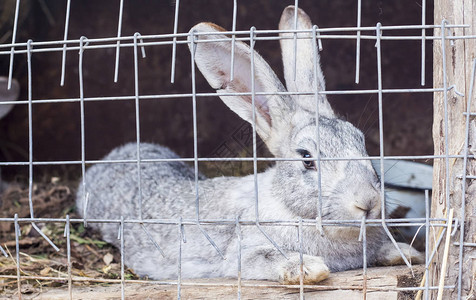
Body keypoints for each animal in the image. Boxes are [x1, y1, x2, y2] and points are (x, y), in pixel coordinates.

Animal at [76, 5, 422, 284]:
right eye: (307, 158)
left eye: (361, 143)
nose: (368, 202)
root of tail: (119, 154)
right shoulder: (244, 252)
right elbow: (261, 258)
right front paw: (309, 269)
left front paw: (406, 253)